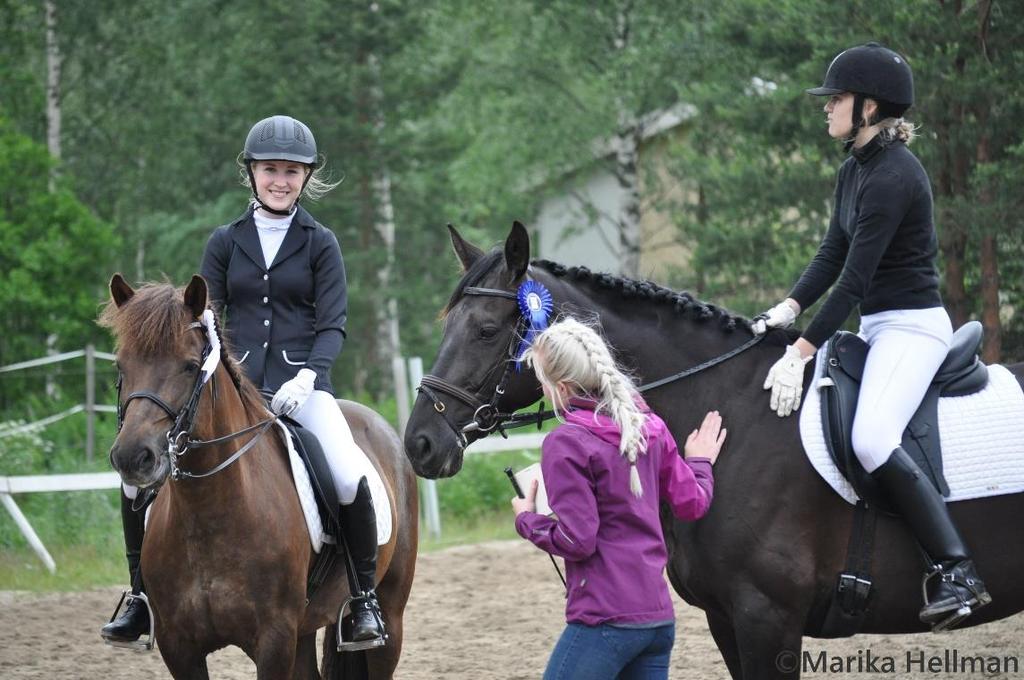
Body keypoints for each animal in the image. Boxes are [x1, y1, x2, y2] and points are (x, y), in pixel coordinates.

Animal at [96, 274, 415, 680]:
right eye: (121, 367)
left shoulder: (274, 638)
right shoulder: (178, 645)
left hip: (390, 615)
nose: (133, 457)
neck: (209, 511)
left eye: (189, 366)